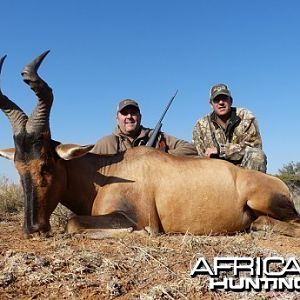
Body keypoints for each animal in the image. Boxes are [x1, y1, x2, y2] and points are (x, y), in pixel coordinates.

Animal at [0, 52, 300, 239]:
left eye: (46, 163)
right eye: (18, 166)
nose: (33, 229)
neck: (109, 172)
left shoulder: (134, 217)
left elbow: (72, 223)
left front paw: (138, 234)